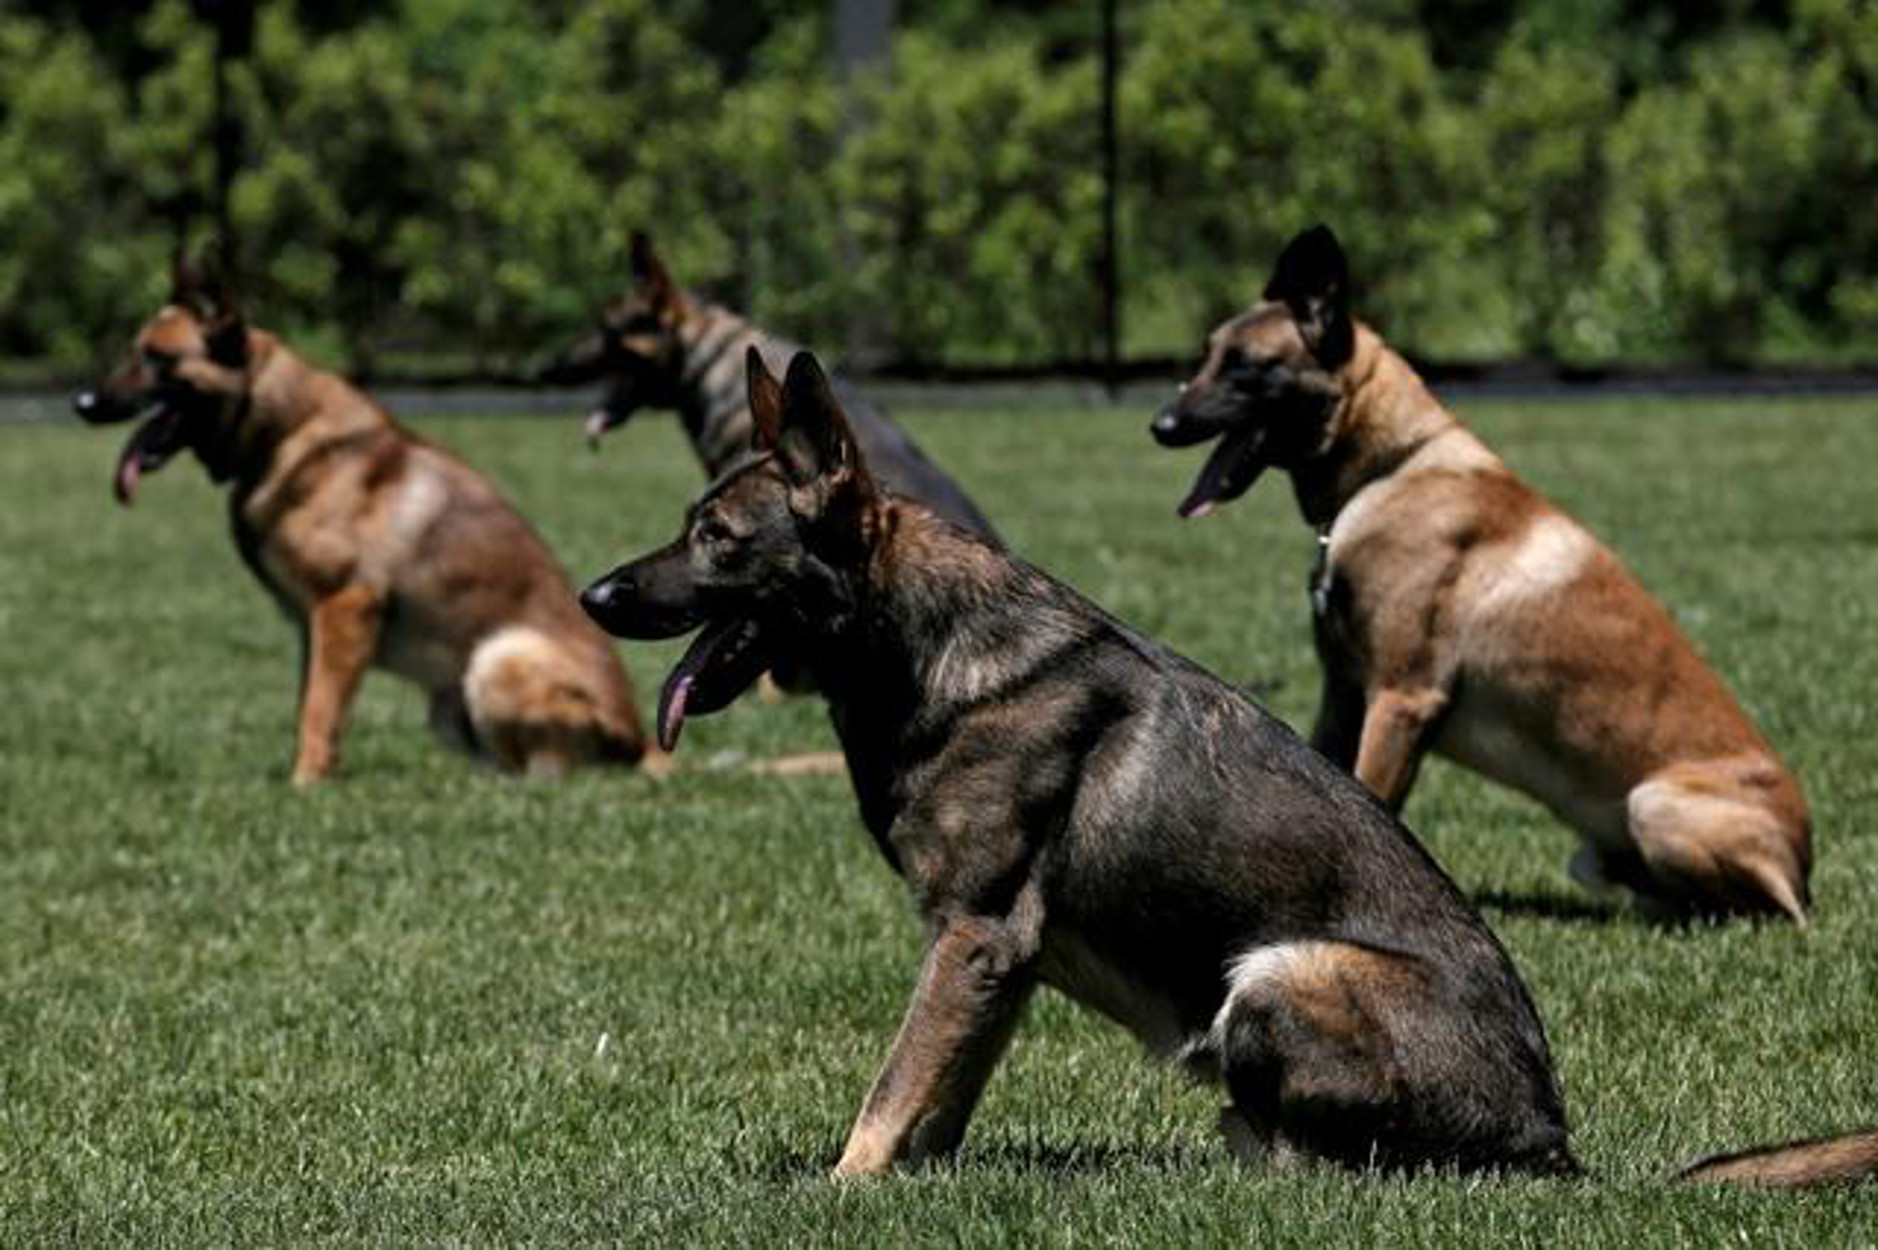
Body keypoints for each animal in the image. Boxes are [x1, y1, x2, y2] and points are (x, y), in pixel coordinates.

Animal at [73, 253, 657, 780]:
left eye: (157, 357)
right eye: (134, 350)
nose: (83, 402)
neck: (279, 430)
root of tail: (645, 743)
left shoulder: (345, 604)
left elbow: (318, 709)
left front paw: (304, 785)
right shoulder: (313, 625)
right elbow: (313, 705)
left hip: (498, 658)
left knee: (551, 773)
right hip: (451, 704)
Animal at [578, 347, 1870, 1178]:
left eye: (716, 538)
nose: (593, 594)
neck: (918, 641)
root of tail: (1552, 1139)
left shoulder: (977, 935)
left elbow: (890, 1090)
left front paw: (843, 1192)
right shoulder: (998, 959)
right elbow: (936, 1098)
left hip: (1276, 971)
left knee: (1322, 1163)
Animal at [1149, 228, 1810, 919]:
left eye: (1245, 366)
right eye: (1205, 356)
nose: (1160, 426)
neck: (1391, 466)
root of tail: (1805, 865)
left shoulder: (1402, 697)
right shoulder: (1344, 693)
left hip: (1653, 804)